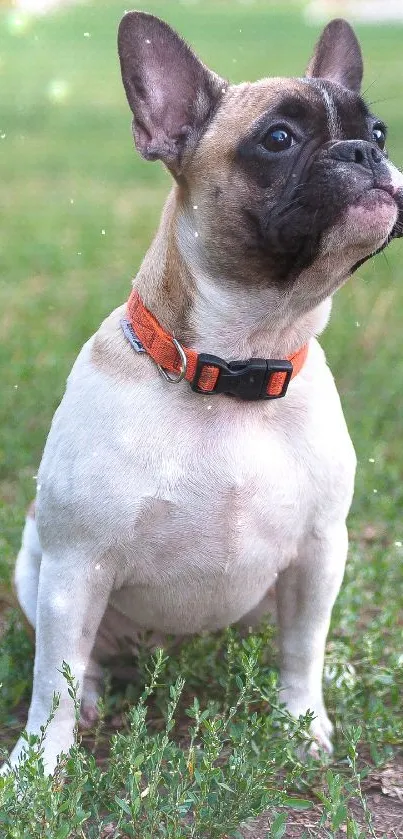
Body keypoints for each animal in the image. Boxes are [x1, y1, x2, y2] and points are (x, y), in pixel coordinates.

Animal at [3, 13, 403, 776]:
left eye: (378, 131)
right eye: (277, 139)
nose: (364, 153)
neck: (238, 362)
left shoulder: (319, 550)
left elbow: (301, 647)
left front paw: (302, 722)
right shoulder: (74, 565)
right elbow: (52, 682)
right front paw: (38, 766)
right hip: (36, 567)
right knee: (78, 659)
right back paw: (93, 695)